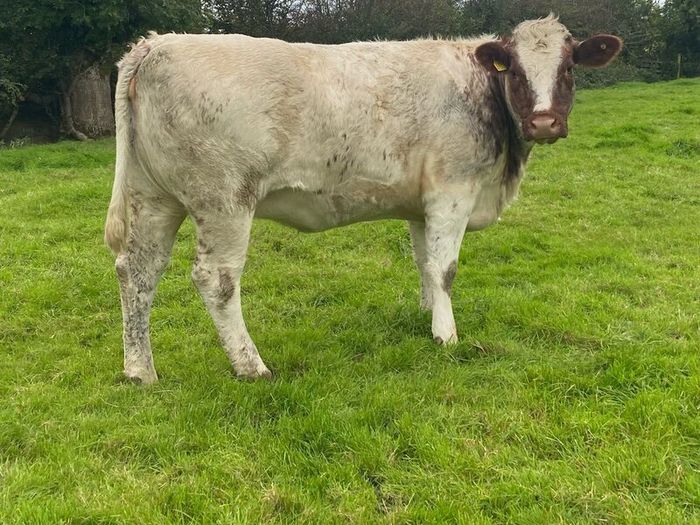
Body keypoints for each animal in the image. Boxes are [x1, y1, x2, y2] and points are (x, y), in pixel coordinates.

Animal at [105, 14, 622, 384]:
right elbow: (445, 268)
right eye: (514, 69)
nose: (544, 122)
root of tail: (156, 44)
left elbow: (424, 263)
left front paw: (427, 314)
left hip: (154, 197)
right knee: (216, 279)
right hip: (225, 199)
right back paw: (251, 367)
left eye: (569, 68)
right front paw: (447, 336)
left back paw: (140, 371)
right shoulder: (453, 191)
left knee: (138, 272)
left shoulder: (421, 204)